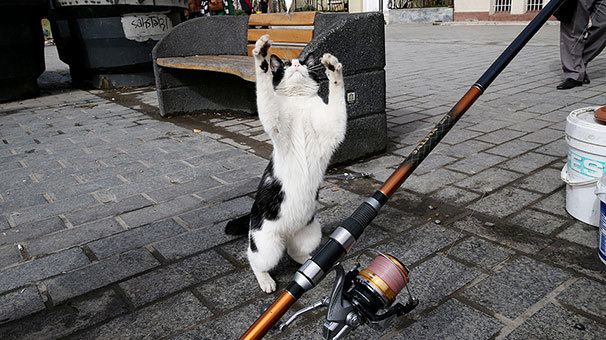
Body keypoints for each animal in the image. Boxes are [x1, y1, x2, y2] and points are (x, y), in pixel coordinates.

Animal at [223, 35, 350, 294]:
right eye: (287, 64)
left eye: (302, 62)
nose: (297, 64)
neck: (299, 101)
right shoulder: (275, 121)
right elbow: (264, 89)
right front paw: (261, 55)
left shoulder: (333, 125)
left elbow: (337, 93)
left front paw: (333, 68)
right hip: (266, 246)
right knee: (254, 260)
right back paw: (266, 281)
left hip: (311, 233)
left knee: (294, 251)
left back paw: (311, 263)